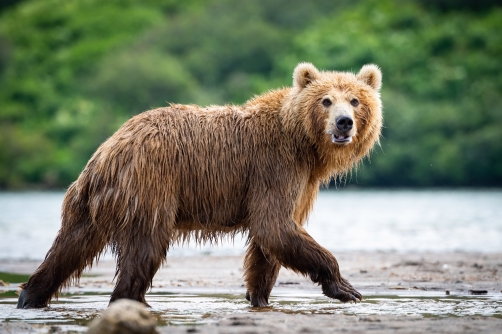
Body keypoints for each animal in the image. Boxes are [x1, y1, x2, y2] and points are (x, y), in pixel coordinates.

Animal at [17, 62, 382, 308]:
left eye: (355, 100)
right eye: (326, 100)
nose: (343, 123)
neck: (304, 144)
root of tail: (107, 150)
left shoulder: (300, 182)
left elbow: (268, 243)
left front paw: (258, 296)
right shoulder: (273, 167)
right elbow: (275, 225)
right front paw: (346, 287)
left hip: (89, 204)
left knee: (70, 247)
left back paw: (30, 296)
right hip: (150, 185)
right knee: (144, 248)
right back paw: (134, 300)